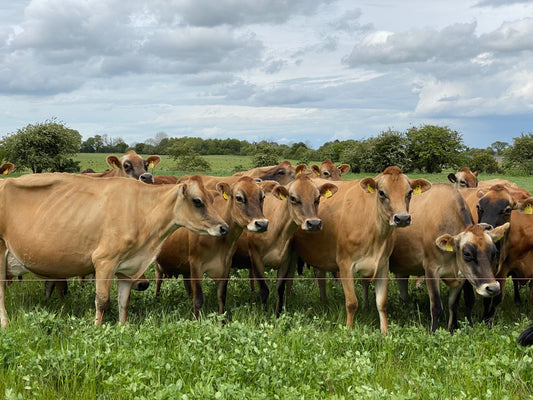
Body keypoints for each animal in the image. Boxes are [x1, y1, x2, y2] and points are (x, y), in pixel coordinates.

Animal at [0, 173, 227, 326]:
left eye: (213, 199)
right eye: (197, 201)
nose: (223, 227)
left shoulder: (128, 268)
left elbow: (123, 302)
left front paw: (122, 328)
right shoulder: (104, 260)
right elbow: (102, 301)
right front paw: (97, 329)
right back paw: (5, 324)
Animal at [153, 177, 270, 318]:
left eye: (262, 197)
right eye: (239, 198)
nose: (262, 224)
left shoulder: (226, 265)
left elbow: (221, 296)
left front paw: (222, 319)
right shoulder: (196, 264)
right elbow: (198, 299)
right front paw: (196, 320)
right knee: (158, 280)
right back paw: (157, 299)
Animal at [388, 184, 510, 332]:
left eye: (494, 252)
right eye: (467, 253)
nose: (493, 288)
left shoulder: (461, 277)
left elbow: (453, 304)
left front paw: (451, 329)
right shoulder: (431, 269)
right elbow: (436, 306)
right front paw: (434, 332)